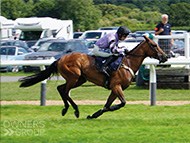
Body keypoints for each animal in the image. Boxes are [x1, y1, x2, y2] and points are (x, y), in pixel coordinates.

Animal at [19, 35, 168, 118]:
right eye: (154, 45)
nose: (165, 56)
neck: (128, 63)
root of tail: (60, 58)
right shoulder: (116, 86)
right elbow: (122, 103)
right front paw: (108, 109)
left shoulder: (114, 89)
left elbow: (108, 104)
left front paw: (94, 115)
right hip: (74, 77)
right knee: (65, 91)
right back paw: (74, 110)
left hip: (80, 79)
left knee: (61, 88)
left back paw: (67, 109)